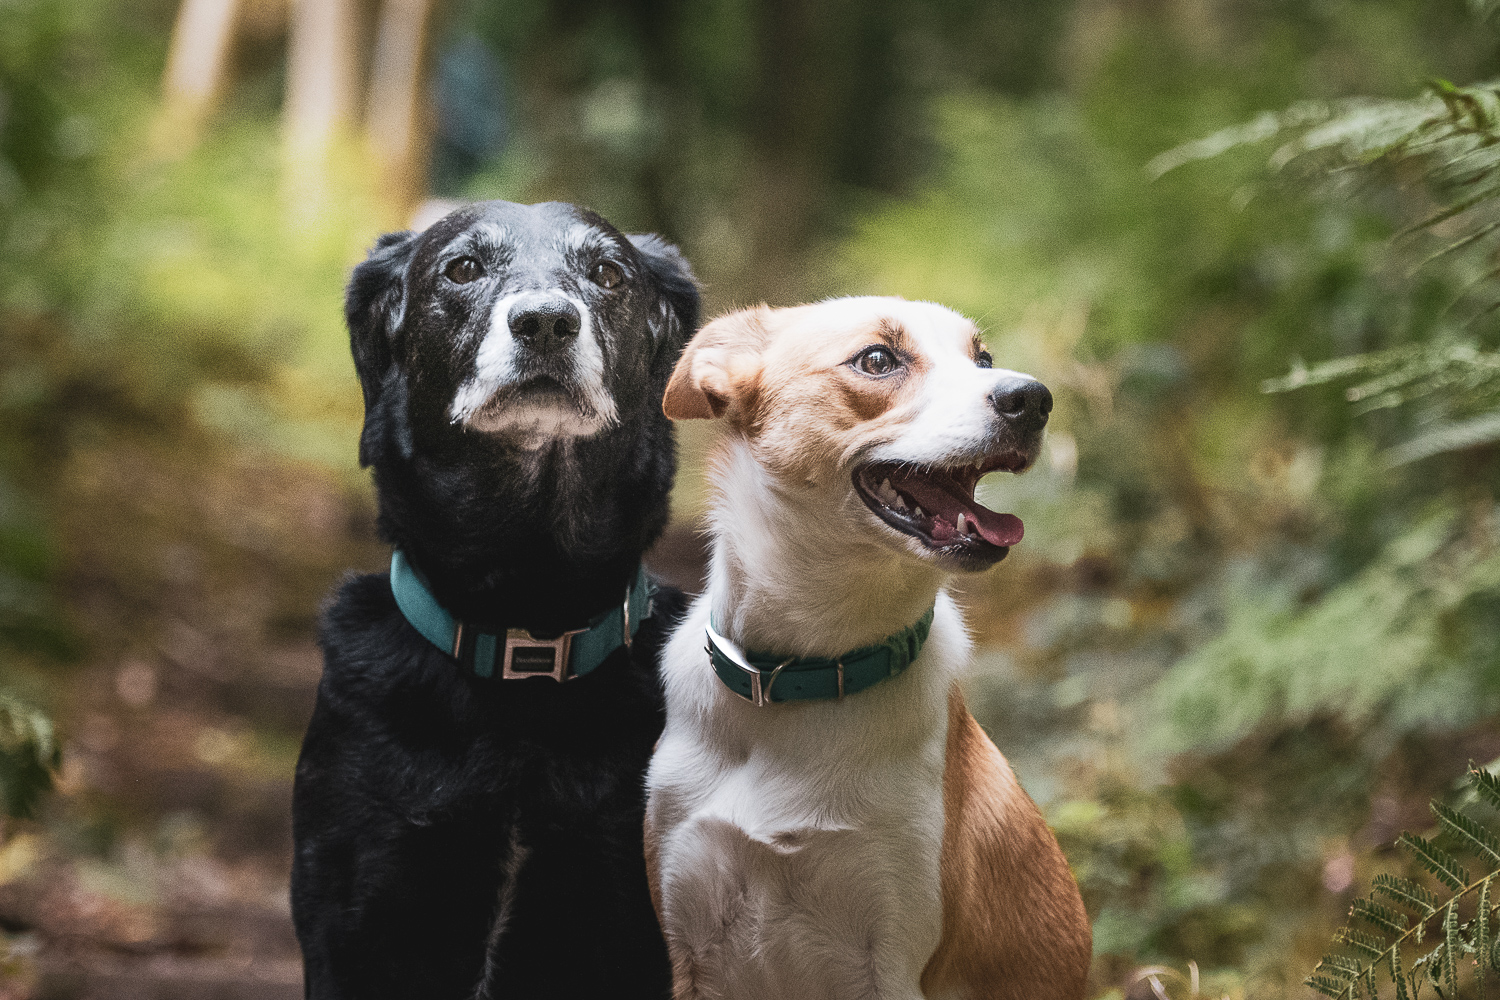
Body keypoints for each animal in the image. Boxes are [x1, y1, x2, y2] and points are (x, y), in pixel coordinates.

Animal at [645, 296, 1092, 1000]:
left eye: (983, 358)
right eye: (878, 360)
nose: (1033, 398)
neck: (801, 673)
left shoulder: (891, 957)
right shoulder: (688, 944)